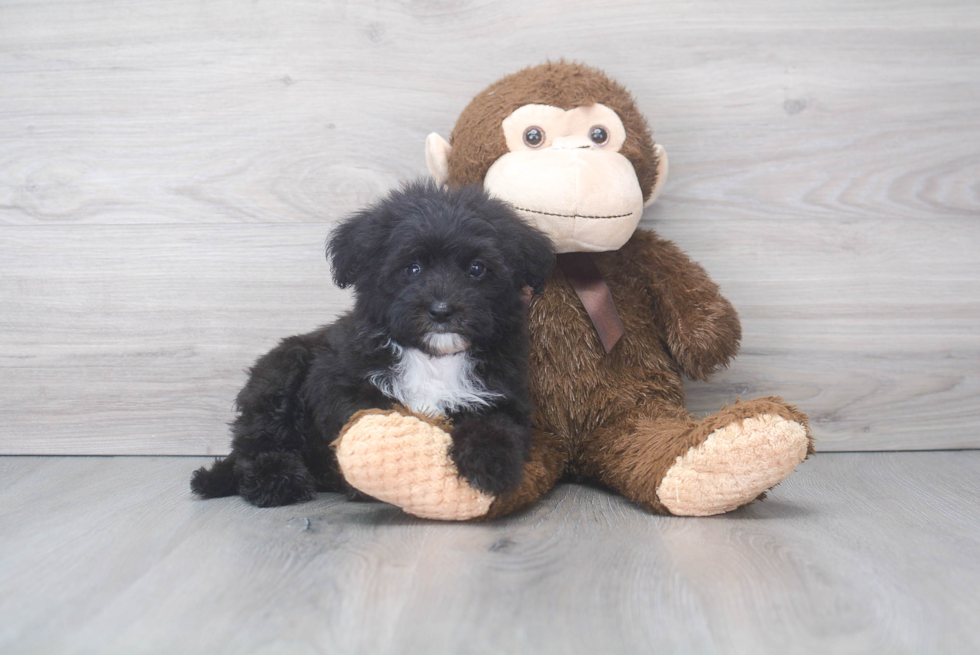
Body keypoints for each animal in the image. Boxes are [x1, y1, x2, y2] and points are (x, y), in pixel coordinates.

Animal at [191, 182, 552, 510]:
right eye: (412, 268)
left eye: (477, 269)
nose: (441, 310)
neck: (432, 357)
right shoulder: (340, 381)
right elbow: (360, 419)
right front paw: (369, 479)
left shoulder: (501, 393)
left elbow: (498, 425)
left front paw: (490, 465)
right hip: (281, 370)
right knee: (256, 443)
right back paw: (275, 480)